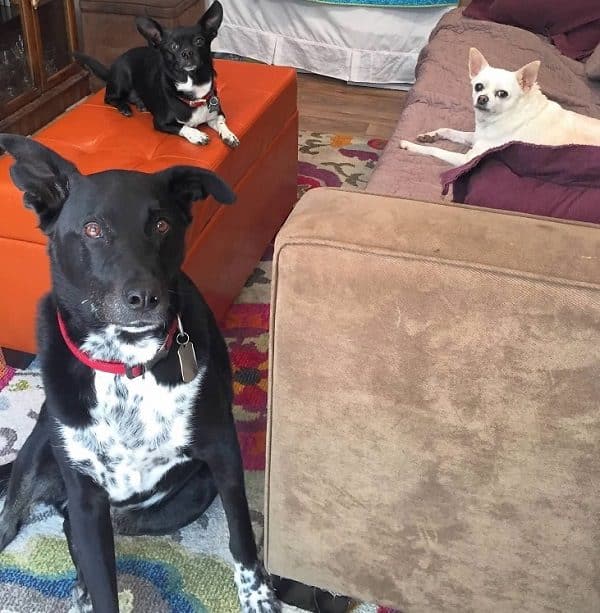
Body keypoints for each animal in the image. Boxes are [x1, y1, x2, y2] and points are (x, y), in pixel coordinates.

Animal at [0, 135, 280, 612]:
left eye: (162, 225)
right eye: (93, 229)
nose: (145, 297)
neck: (125, 364)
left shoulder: (223, 453)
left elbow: (241, 534)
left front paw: (257, 594)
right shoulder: (86, 496)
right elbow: (103, 581)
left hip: (185, 497)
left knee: (72, 528)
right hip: (39, 453)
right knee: (17, 517)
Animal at [76, 1, 240, 148]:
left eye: (199, 41)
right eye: (173, 46)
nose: (187, 52)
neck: (194, 89)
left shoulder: (217, 114)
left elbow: (221, 122)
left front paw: (229, 135)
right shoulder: (161, 123)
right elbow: (184, 127)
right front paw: (197, 135)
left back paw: (140, 104)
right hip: (122, 79)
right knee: (110, 97)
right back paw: (125, 108)